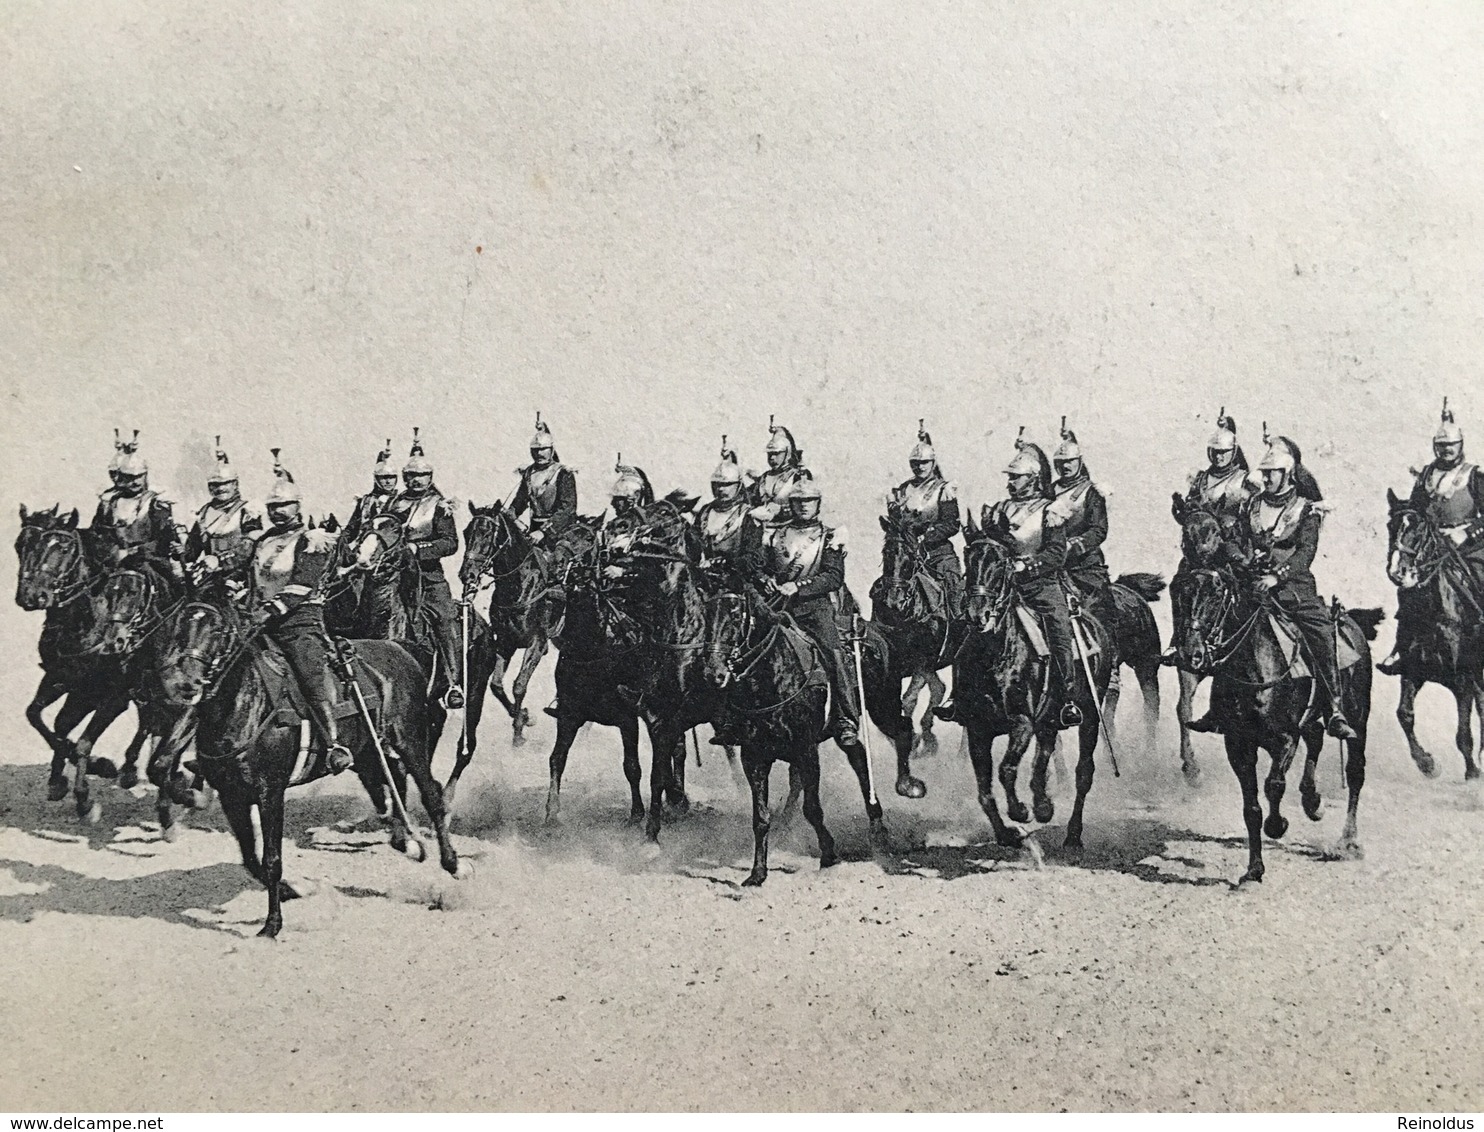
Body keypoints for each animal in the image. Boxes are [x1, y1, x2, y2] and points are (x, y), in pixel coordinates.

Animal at [153, 596, 460, 931]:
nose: (184, 683)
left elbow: (272, 859)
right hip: (371, 751)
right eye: (180, 624)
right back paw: (408, 843)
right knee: (394, 781)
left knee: (431, 794)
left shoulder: (270, 793)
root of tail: (400, 649)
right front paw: (293, 890)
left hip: (410, 742)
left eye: (218, 629)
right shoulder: (231, 795)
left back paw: (453, 864)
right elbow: (251, 859)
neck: (246, 704)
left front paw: (272, 924)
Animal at [703, 584, 836, 884]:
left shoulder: (807, 750)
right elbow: (761, 818)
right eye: (706, 614)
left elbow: (813, 809)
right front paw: (758, 872)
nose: (713, 673)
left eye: (735, 615)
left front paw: (829, 854)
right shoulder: (754, 757)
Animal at [1383, 492, 1478, 783]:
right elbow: (1404, 714)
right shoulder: (1412, 670)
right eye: (1390, 526)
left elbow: (1463, 732)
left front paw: (1473, 771)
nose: (1398, 572)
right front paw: (1426, 763)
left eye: (1420, 528)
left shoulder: (1464, 680)